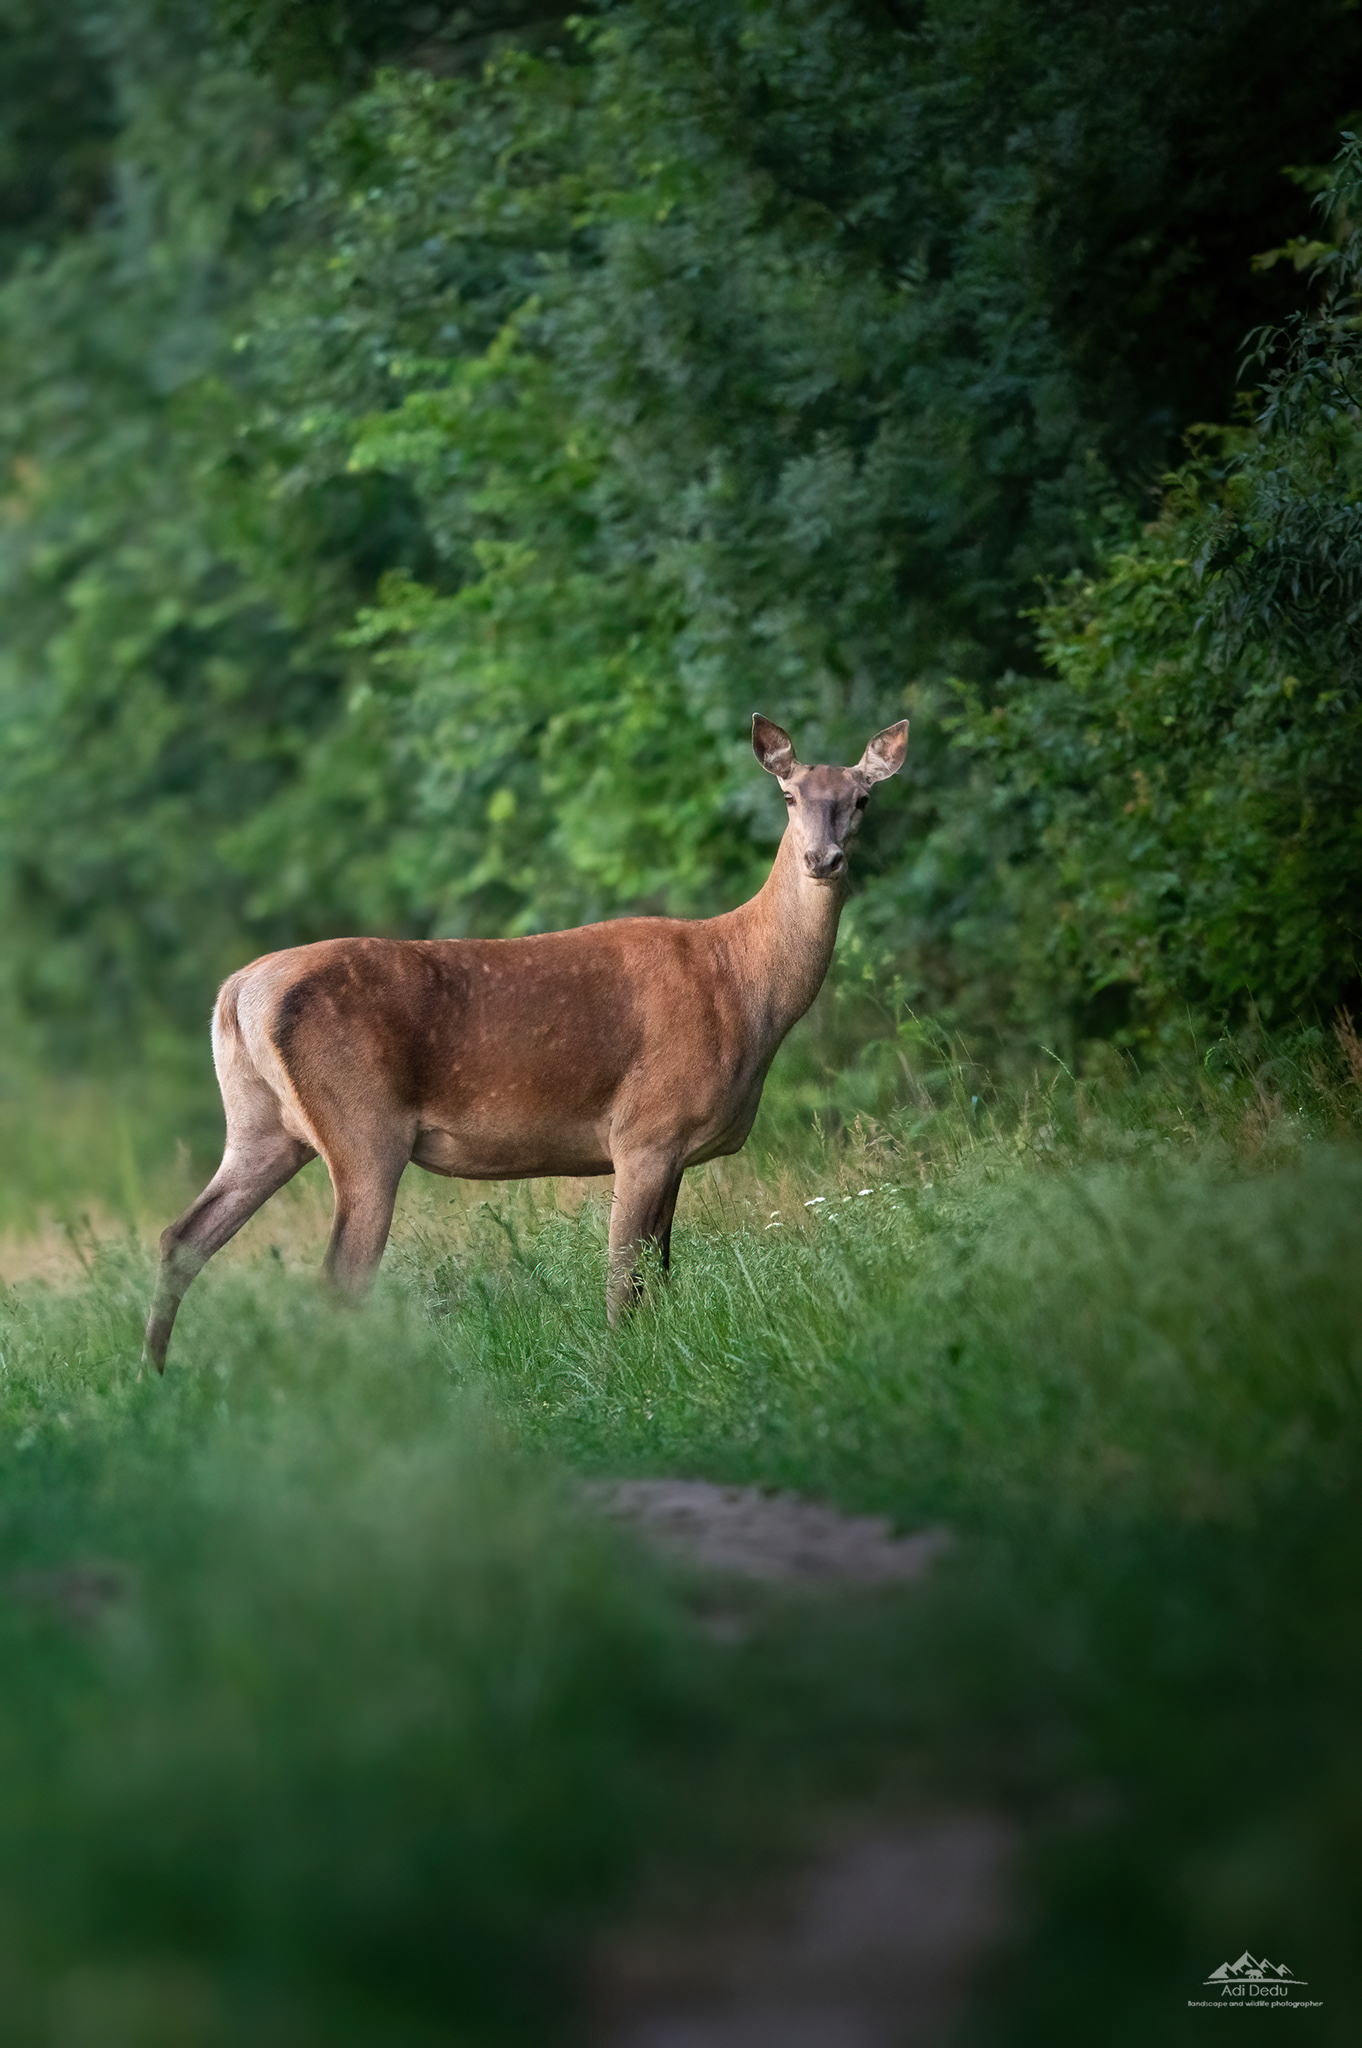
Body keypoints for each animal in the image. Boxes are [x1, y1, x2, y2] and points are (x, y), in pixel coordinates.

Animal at [143, 714, 908, 1368]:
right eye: (788, 794)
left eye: (862, 800)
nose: (822, 858)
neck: (744, 987)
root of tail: (237, 991)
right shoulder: (645, 1130)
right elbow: (623, 1279)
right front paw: (618, 1368)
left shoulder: (675, 1151)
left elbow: (659, 1276)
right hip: (362, 1126)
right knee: (338, 1278)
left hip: (262, 1124)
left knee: (183, 1237)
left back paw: (156, 1379)